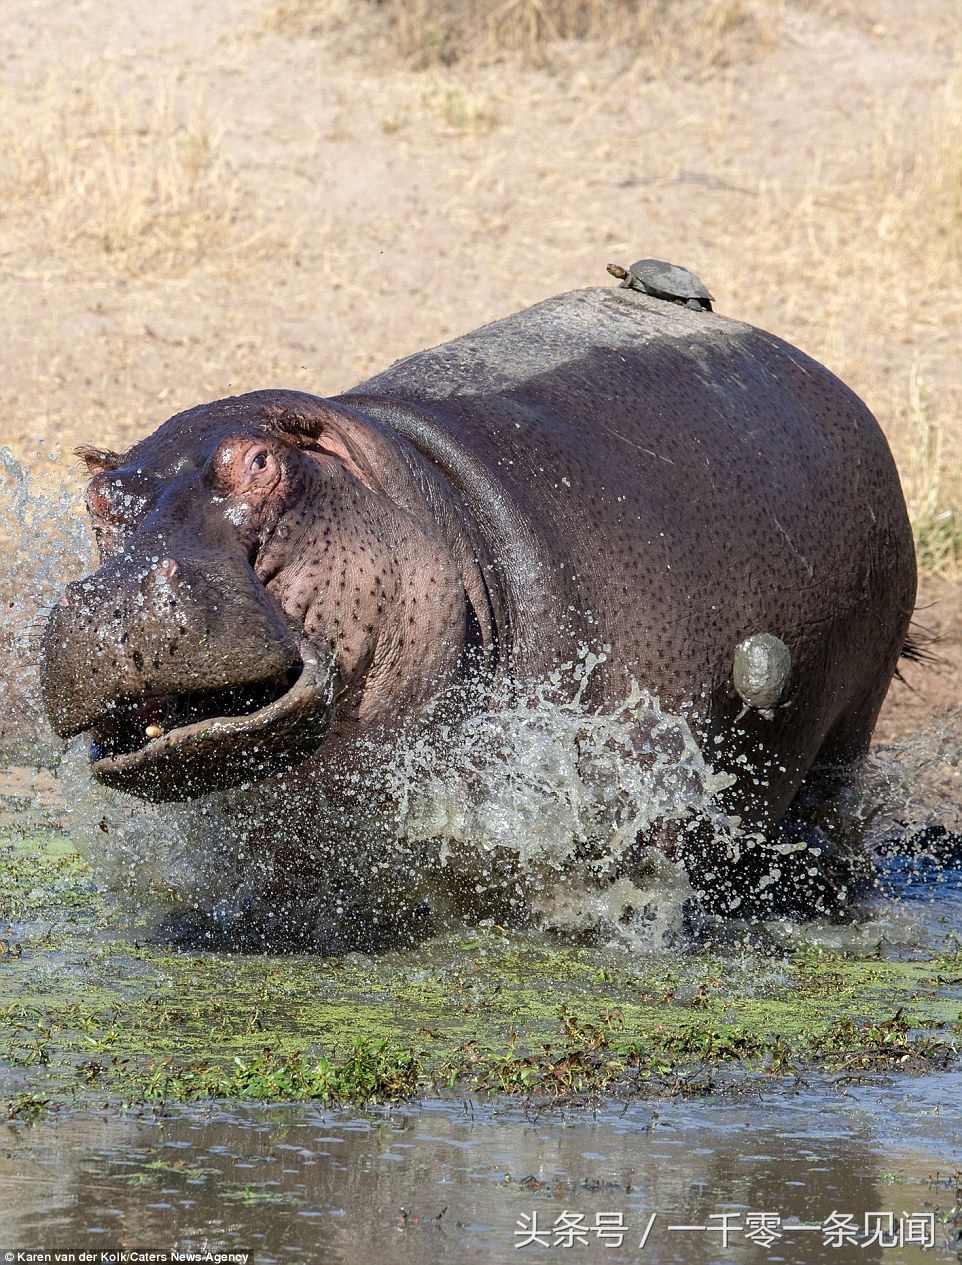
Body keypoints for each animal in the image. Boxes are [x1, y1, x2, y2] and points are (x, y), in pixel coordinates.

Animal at [41, 287, 916, 936]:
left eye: (259, 461)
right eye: (94, 499)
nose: (114, 597)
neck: (419, 497)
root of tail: (820, 373)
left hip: (848, 728)